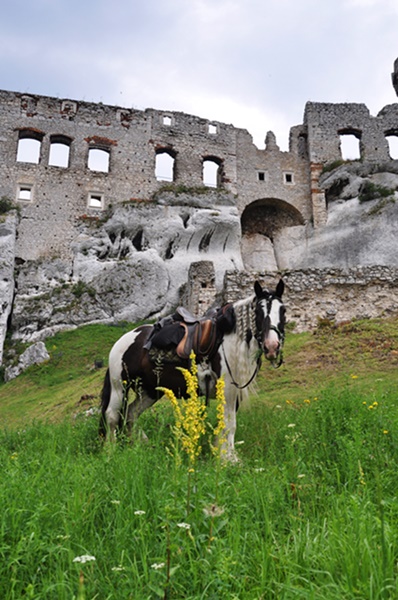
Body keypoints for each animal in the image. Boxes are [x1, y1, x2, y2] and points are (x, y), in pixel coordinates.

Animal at [99, 280, 286, 460]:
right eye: (258, 311)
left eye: (283, 310)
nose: (272, 347)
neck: (230, 339)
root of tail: (124, 340)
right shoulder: (228, 390)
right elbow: (229, 424)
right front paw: (228, 459)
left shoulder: (236, 391)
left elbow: (228, 424)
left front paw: (226, 455)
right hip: (120, 386)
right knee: (112, 416)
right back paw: (110, 450)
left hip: (151, 391)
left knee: (131, 413)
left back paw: (138, 445)